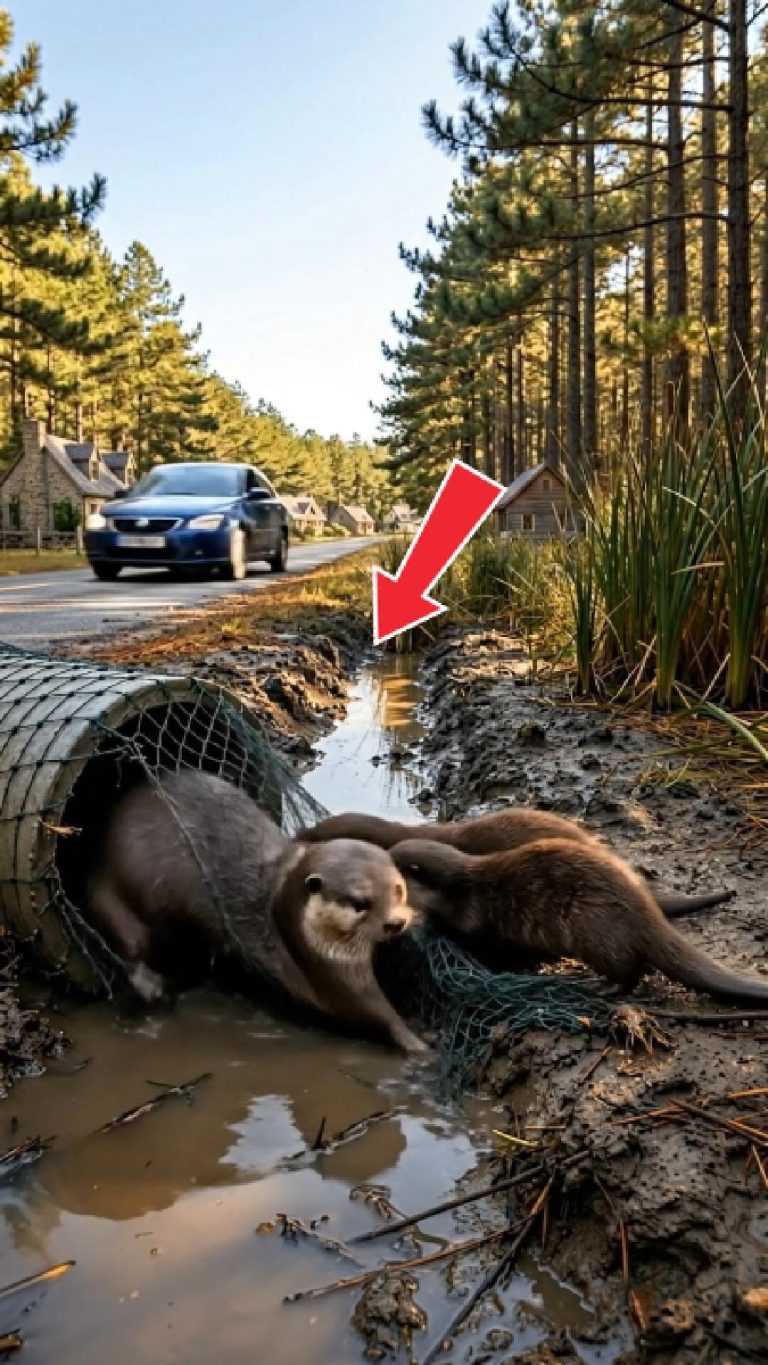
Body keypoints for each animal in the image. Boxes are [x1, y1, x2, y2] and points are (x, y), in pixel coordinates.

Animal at [85, 771, 426, 1053]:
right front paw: (418, 1046)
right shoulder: (330, 973)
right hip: (121, 893)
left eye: (398, 888)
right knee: (127, 945)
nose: (396, 922)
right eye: (359, 903)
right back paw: (155, 989)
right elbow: (373, 1014)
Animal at [387, 837, 768, 1005]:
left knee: (630, 969)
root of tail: (644, 909)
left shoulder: (478, 921)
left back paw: (604, 987)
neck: (463, 893)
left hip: (593, 925)